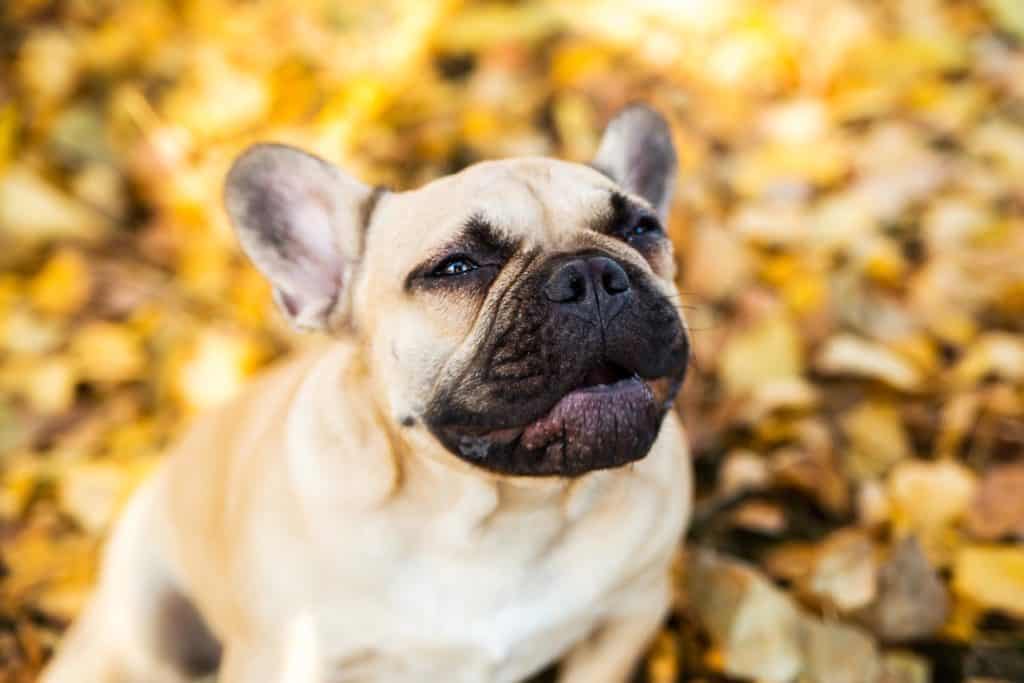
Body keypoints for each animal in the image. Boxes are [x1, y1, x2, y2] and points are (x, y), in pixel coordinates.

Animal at [44, 105, 692, 683]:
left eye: (642, 229)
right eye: (456, 267)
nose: (590, 275)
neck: (502, 518)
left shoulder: (631, 614)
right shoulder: (289, 661)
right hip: (141, 630)